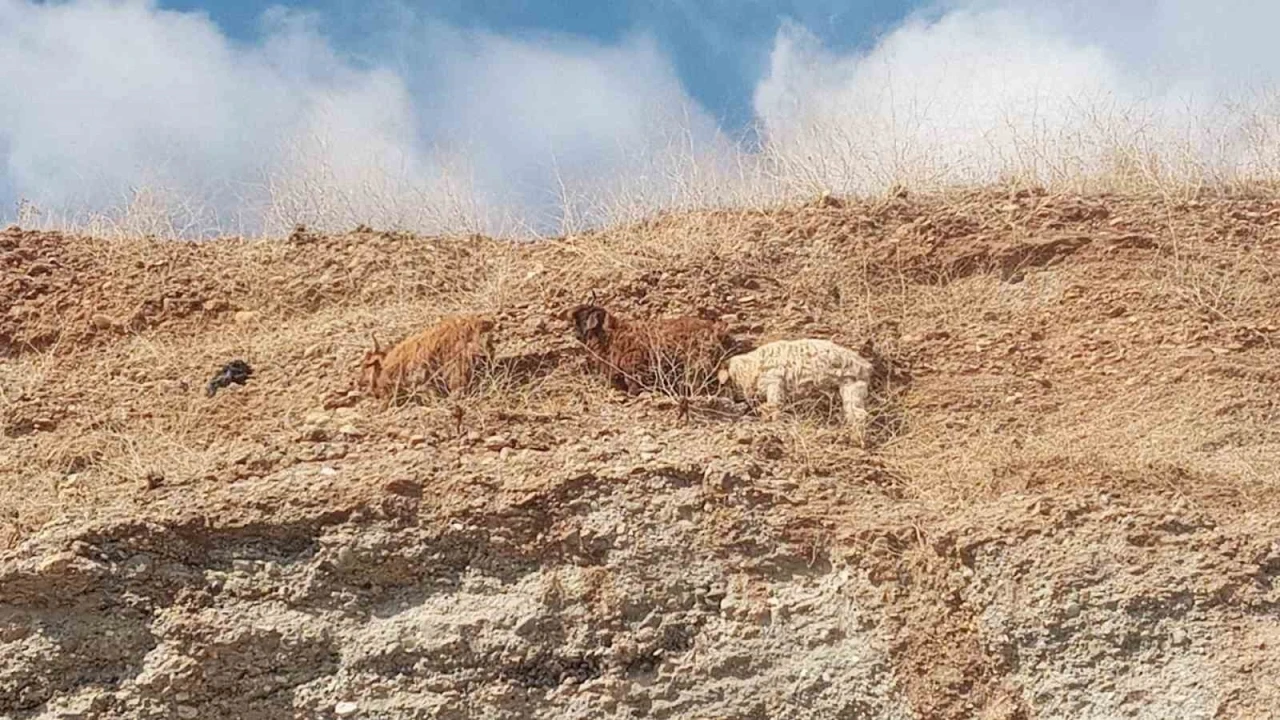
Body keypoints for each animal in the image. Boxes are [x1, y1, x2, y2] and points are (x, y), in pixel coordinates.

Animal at [721, 338, 870, 425]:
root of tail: (865, 366)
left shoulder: (774, 382)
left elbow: (774, 405)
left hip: (851, 384)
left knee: (859, 415)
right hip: (851, 387)